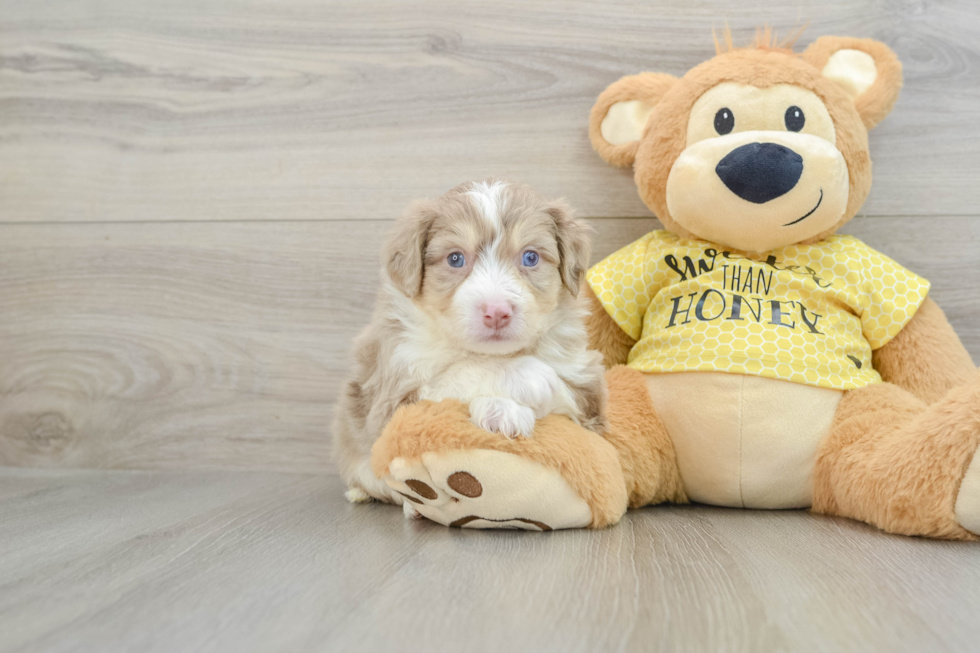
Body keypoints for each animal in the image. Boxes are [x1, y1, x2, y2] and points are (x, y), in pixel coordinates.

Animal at [334, 180, 604, 504]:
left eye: (530, 257)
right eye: (455, 258)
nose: (497, 312)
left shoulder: (587, 391)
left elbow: (566, 397)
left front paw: (510, 407)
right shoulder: (389, 397)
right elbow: (456, 375)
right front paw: (518, 386)